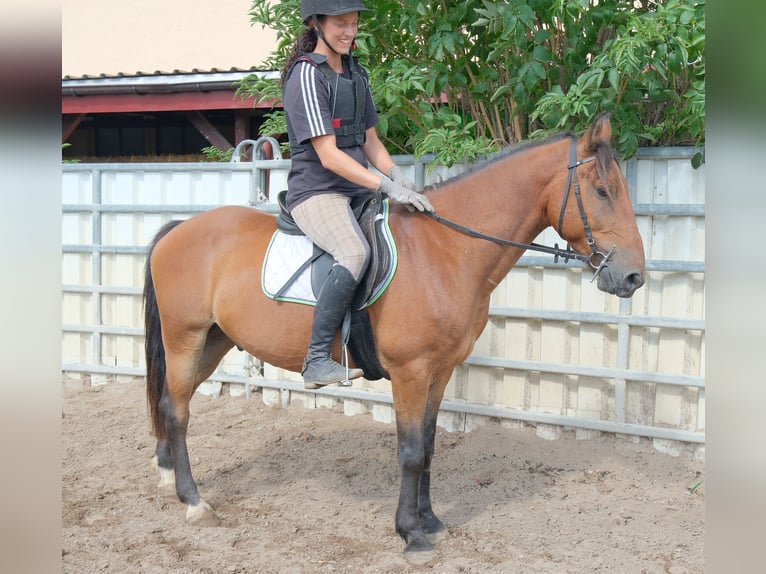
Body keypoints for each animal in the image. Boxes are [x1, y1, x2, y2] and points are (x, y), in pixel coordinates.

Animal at [143, 112, 645, 556]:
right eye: (602, 190)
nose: (633, 277)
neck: (446, 250)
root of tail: (179, 229)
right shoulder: (410, 371)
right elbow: (409, 451)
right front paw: (411, 534)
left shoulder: (440, 371)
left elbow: (429, 446)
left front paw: (432, 522)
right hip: (186, 338)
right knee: (177, 410)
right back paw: (194, 502)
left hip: (213, 340)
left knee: (170, 403)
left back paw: (167, 477)